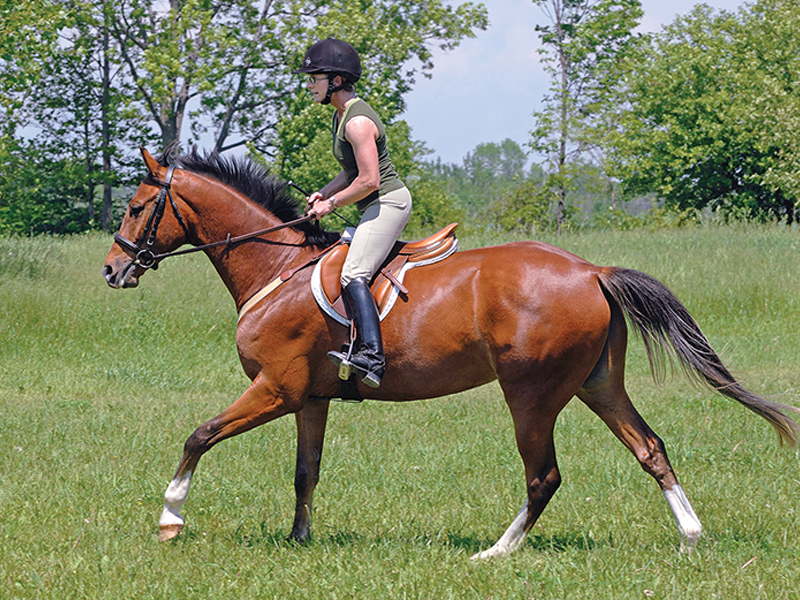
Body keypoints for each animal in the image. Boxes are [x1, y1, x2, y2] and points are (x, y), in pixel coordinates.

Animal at [103, 147, 800, 559]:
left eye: (136, 207)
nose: (112, 270)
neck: (275, 269)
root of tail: (591, 270)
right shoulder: (309, 398)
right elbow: (306, 471)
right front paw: (300, 539)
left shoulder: (275, 388)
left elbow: (198, 435)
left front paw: (170, 518)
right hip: (598, 385)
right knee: (650, 449)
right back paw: (690, 536)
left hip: (531, 394)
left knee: (544, 476)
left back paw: (496, 552)